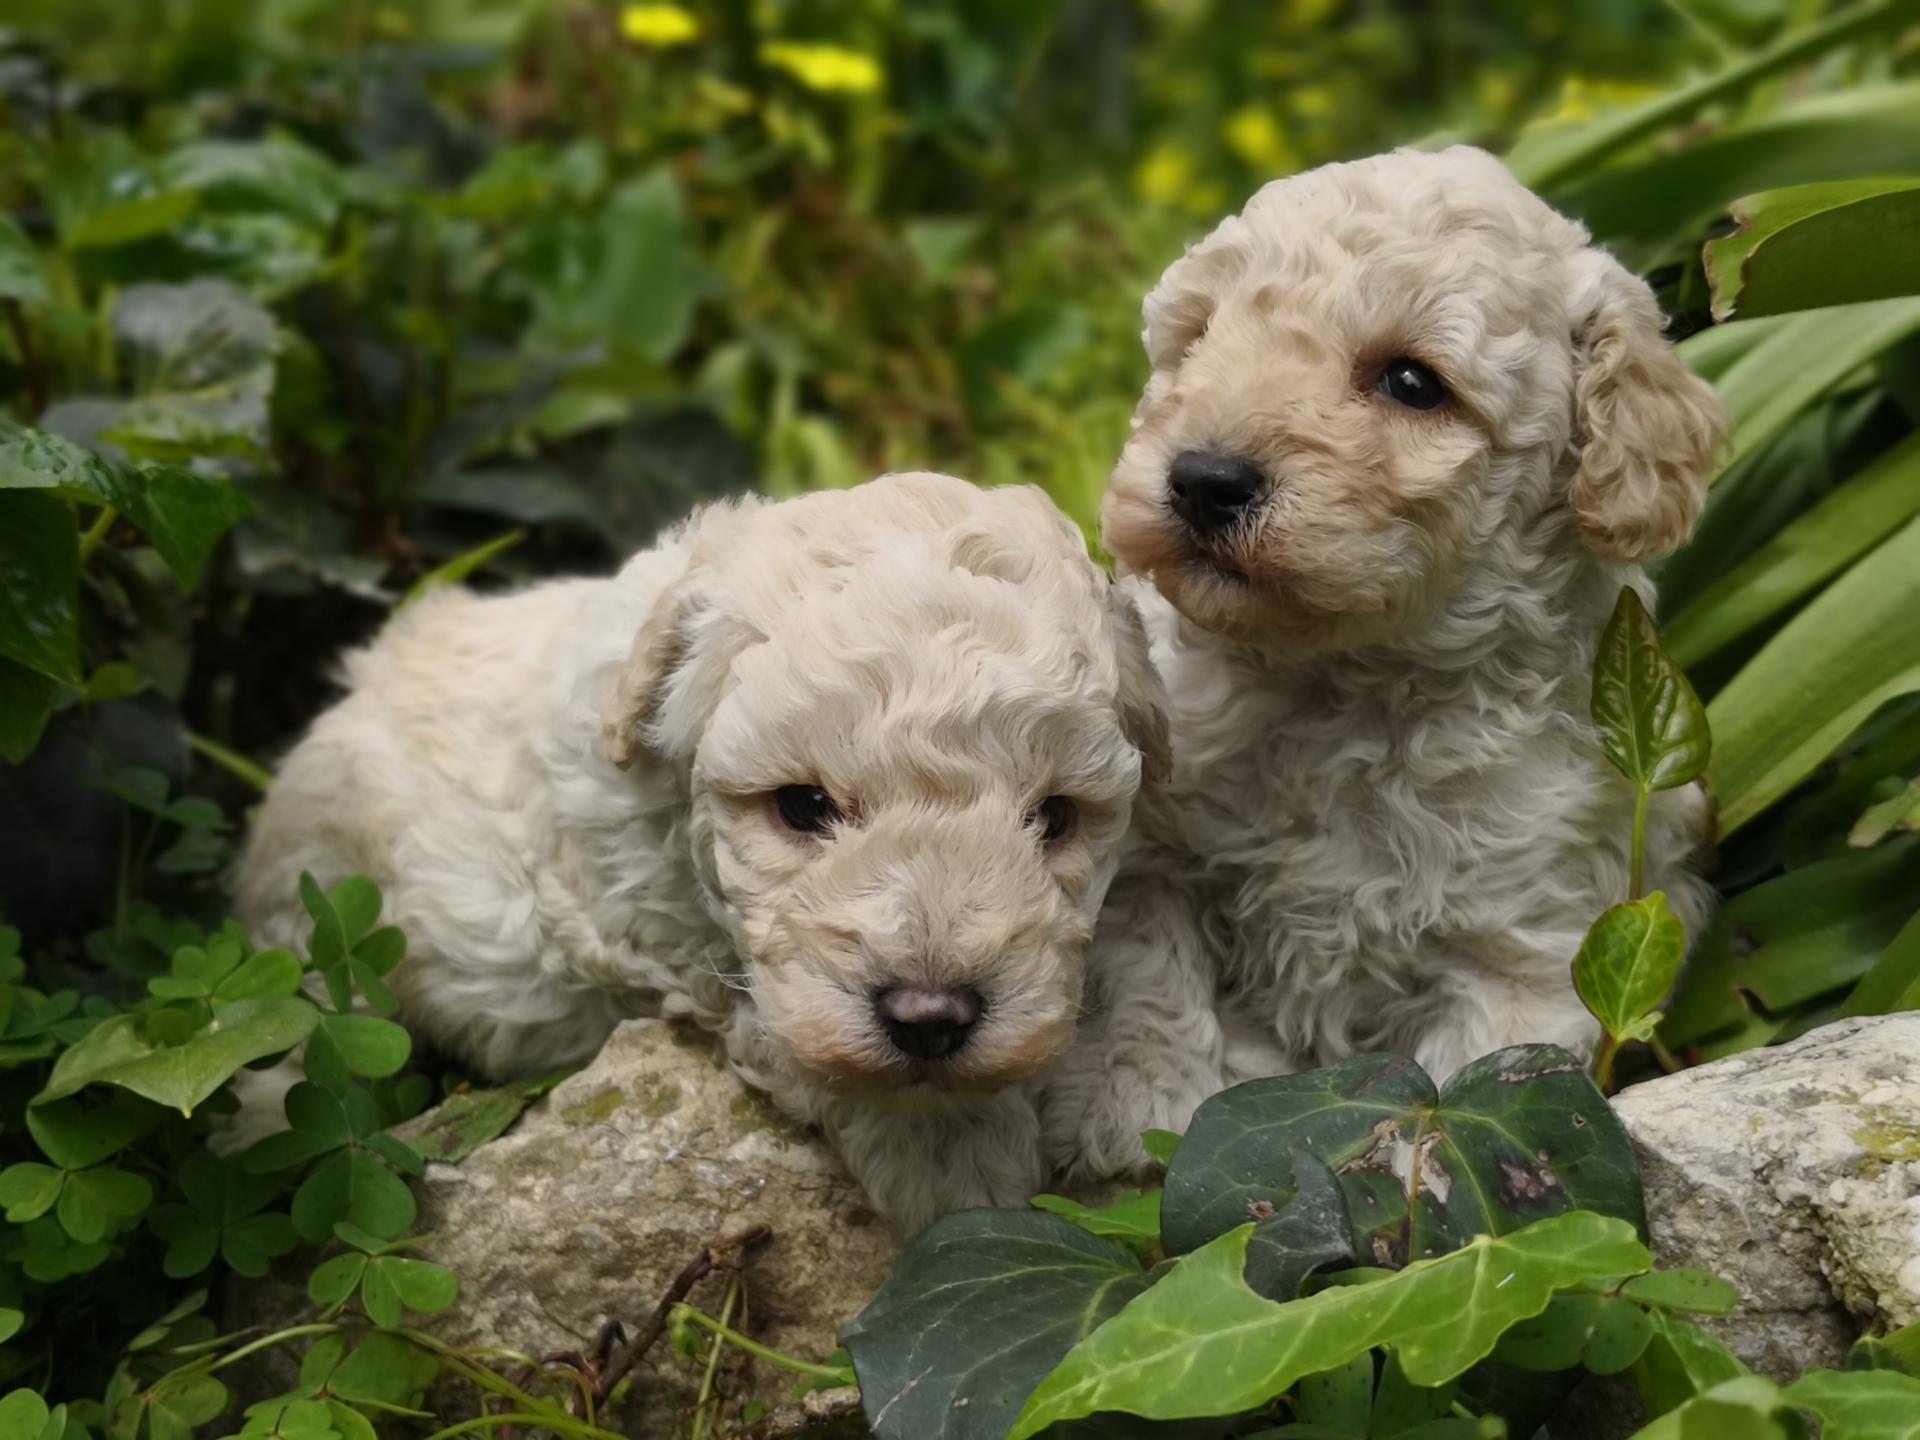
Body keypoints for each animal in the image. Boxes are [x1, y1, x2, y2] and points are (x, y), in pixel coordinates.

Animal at [240, 470, 1167, 1228]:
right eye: (802, 806)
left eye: (1054, 818)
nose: (930, 1019)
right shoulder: (640, 920)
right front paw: (952, 1158)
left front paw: (1126, 1089)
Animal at [1052, 146, 1728, 1182]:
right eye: (1199, 340)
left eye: (1413, 382)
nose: (1204, 479)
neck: (1345, 683)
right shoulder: (1155, 855)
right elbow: (1146, 979)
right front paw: (1138, 1109)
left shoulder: (1524, 950)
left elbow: (1458, 1105)